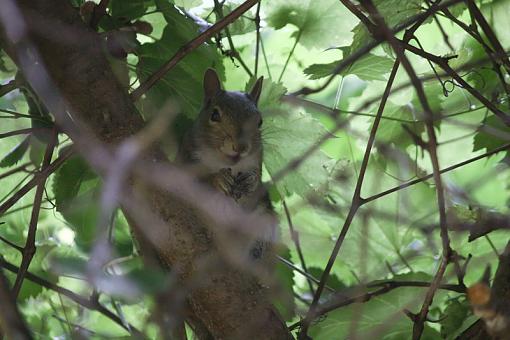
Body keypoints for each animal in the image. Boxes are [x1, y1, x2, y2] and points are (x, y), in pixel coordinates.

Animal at [178, 68, 274, 260]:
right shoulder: (188, 155)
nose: (240, 147)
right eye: (214, 115)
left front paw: (250, 180)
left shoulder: (257, 158)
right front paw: (218, 179)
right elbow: (195, 177)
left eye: (259, 121)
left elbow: (257, 177)